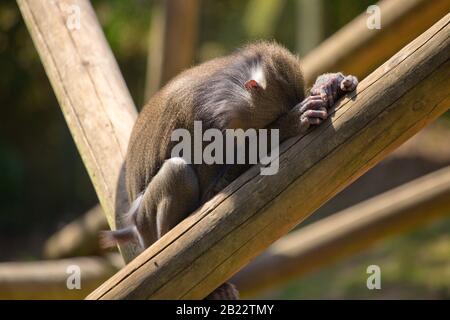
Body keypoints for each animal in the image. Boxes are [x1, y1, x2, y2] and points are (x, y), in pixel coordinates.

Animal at [99, 40, 358, 300]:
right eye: (273, 120)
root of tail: (137, 232)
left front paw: (328, 83)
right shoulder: (201, 125)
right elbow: (210, 193)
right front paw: (293, 122)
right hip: (147, 225)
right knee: (177, 173)